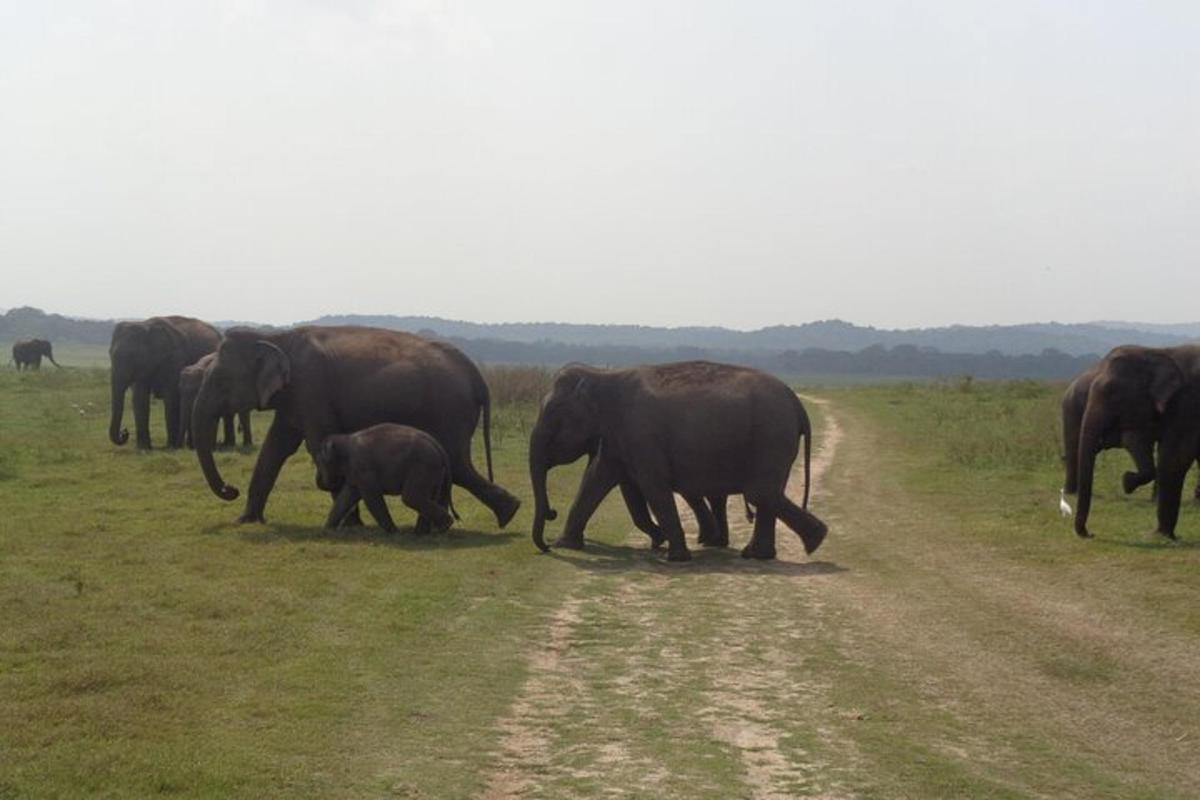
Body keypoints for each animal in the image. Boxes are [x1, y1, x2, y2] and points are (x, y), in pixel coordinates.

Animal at [109, 314, 222, 450]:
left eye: (132, 356)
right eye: (109, 354)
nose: (124, 432)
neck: (146, 325)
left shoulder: (175, 358)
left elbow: (171, 397)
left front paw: (171, 447)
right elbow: (139, 399)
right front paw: (143, 448)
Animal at [314, 422, 458, 534]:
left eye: (320, 462)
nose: (320, 480)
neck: (345, 439)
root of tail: (439, 447)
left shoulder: (363, 468)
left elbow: (371, 496)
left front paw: (394, 532)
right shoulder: (355, 473)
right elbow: (346, 497)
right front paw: (327, 529)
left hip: (423, 467)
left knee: (411, 497)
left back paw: (443, 526)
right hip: (433, 472)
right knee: (428, 497)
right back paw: (423, 532)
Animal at [530, 362, 830, 563]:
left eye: (554, 416)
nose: (546, 545)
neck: (602, 375)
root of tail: (796, 403)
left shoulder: (641, 434)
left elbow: (653, 486)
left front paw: (675, 557)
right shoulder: (618, 438)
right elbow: (596, 479)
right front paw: (567, 544)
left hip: (772, 437)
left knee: (760, 491)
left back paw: (814, 540)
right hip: (775, 440)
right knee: (766, 493)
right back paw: (761, 553)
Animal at [1075, 345, 1200, 542]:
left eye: (1112, 392)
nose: (1090, 534)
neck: (1156, 352)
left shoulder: (1187, 405)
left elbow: (1173, 460)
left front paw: (1160, 536)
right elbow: (1136, 440)